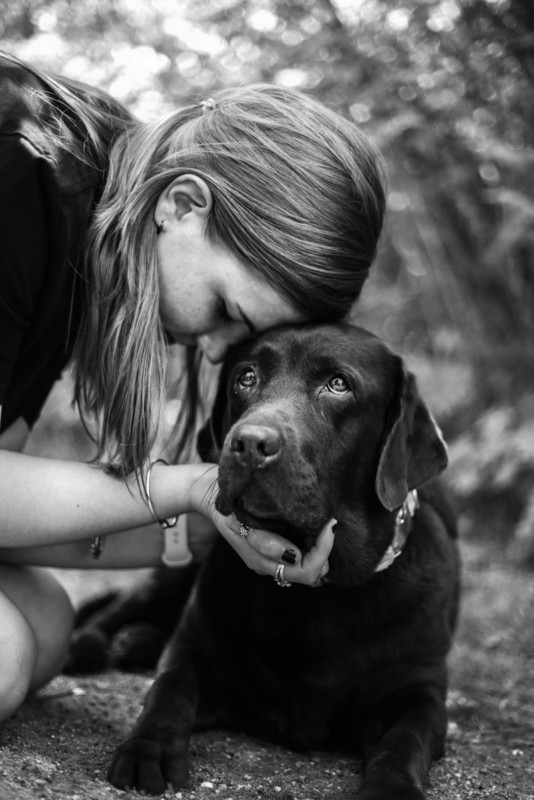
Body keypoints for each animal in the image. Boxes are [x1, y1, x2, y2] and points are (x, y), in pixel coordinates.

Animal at [67, 324, 460, 800]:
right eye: (246, 377)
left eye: (339, 384)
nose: (250, 443)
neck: (319, 598)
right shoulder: (197, 650)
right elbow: (169, 689)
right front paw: (148, 748)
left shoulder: (419, 692)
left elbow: (404, 741)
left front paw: (390, 790)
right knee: (118, 608)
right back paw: (90, 643)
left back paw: (136, 641)